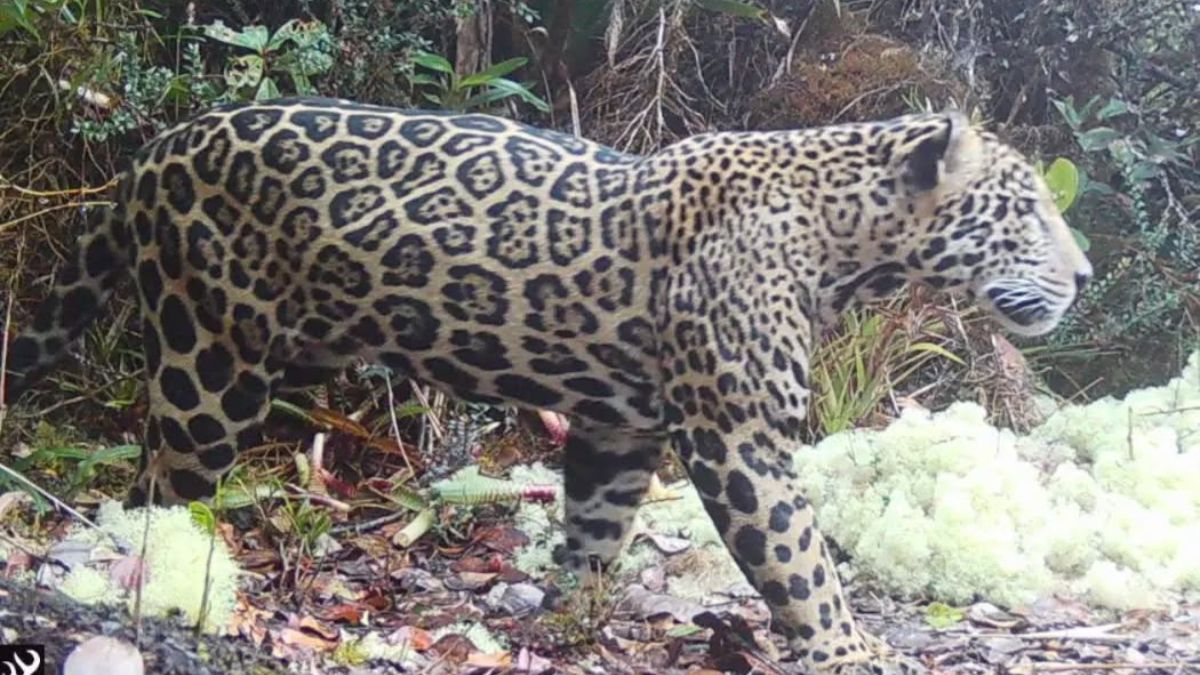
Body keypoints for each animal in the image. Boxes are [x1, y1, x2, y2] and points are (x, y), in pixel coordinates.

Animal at [4, 97, 1091, 673]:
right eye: (1027, 210)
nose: (1084, 276)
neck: (846, 243)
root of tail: (153, 153)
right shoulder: (738, 435)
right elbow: (801, 561)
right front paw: (850, 649)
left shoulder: (620, 426)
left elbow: (597, 530)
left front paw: (569, 618)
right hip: (210, 359)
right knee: (162, 488)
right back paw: (169, 586)